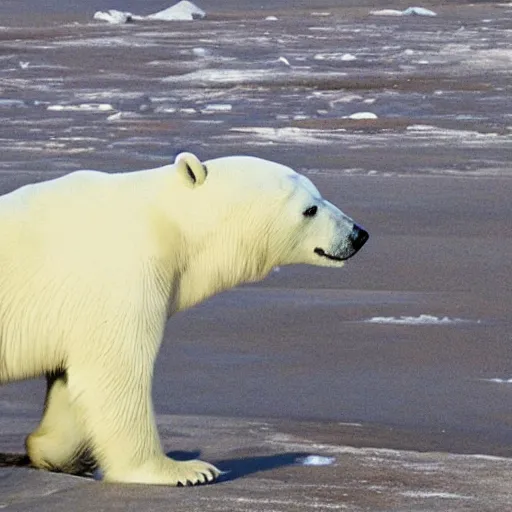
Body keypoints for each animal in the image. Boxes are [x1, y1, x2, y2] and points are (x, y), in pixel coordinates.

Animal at [0, 152, 368, 484]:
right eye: (310, 208)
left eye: (318, 194)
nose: (359, 234)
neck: (166, 220)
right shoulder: (125, 273)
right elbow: (115, 371)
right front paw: (181, 470)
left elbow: (70, 378)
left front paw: (57, 454)